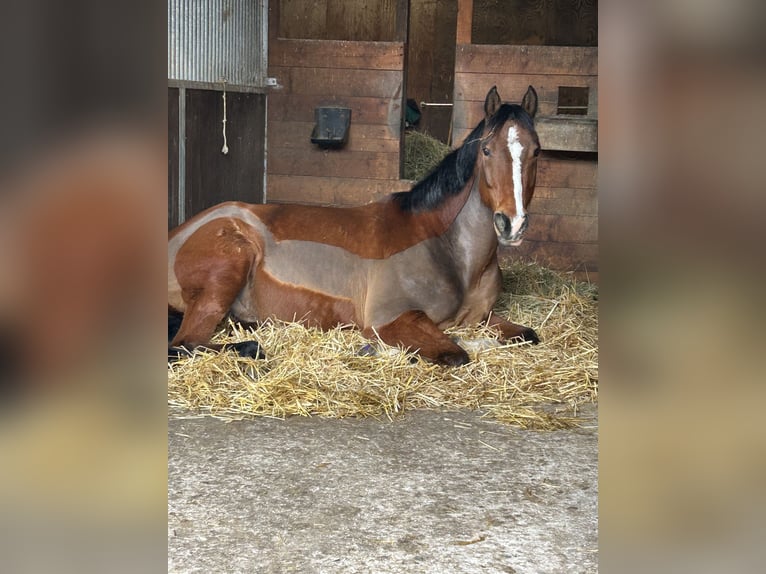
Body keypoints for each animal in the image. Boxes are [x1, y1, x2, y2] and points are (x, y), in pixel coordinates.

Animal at [168, 85, 541, 366]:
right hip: (226, 271)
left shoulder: (484, 317)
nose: (512, 224)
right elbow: (456, 351)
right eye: (487, 150)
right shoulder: (393, 319)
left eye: (536, 151)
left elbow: (527, 336)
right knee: (184, 344)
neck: (446, 249)